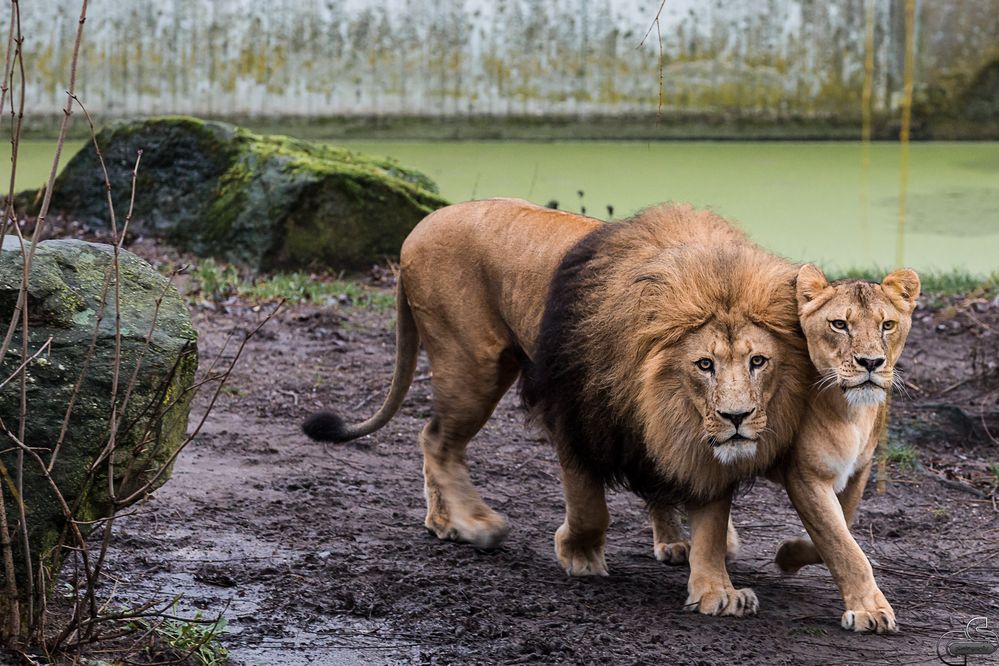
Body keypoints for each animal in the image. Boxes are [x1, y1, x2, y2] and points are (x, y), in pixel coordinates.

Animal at [304, 197, 812, 616]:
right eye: (704, 364)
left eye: (758, 361)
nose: (736, 418)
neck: (665, 398)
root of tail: (420, 227)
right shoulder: (576, 418)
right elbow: (588, 505)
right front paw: (580, 556)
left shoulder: (694, 441)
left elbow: (709, 519)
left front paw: (716, 590)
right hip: (473, 361)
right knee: (437, 439)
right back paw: (475, 524)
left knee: (432, 433)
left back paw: (443, 523)